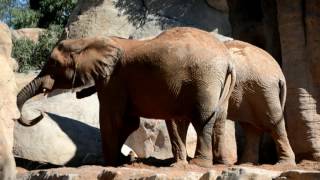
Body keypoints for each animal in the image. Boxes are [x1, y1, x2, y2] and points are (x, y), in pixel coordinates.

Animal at [15, 27, 235, 167]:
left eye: (53, 63)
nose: (38, 115)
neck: (90, 41)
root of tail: (228, 60)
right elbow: (129, 122)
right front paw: (122, 161)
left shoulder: (113, 80)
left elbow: (113, 120)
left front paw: (109, 164)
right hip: (214, 82)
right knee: (219, 120)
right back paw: (219, 163)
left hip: (204, 79)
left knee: (202, 118)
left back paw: (200, 164)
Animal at [161, 39, 296, 166]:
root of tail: (279, 74)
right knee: (251, 127)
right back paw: (245, 163)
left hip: (265, 90)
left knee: (273, 123)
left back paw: (283, 164)